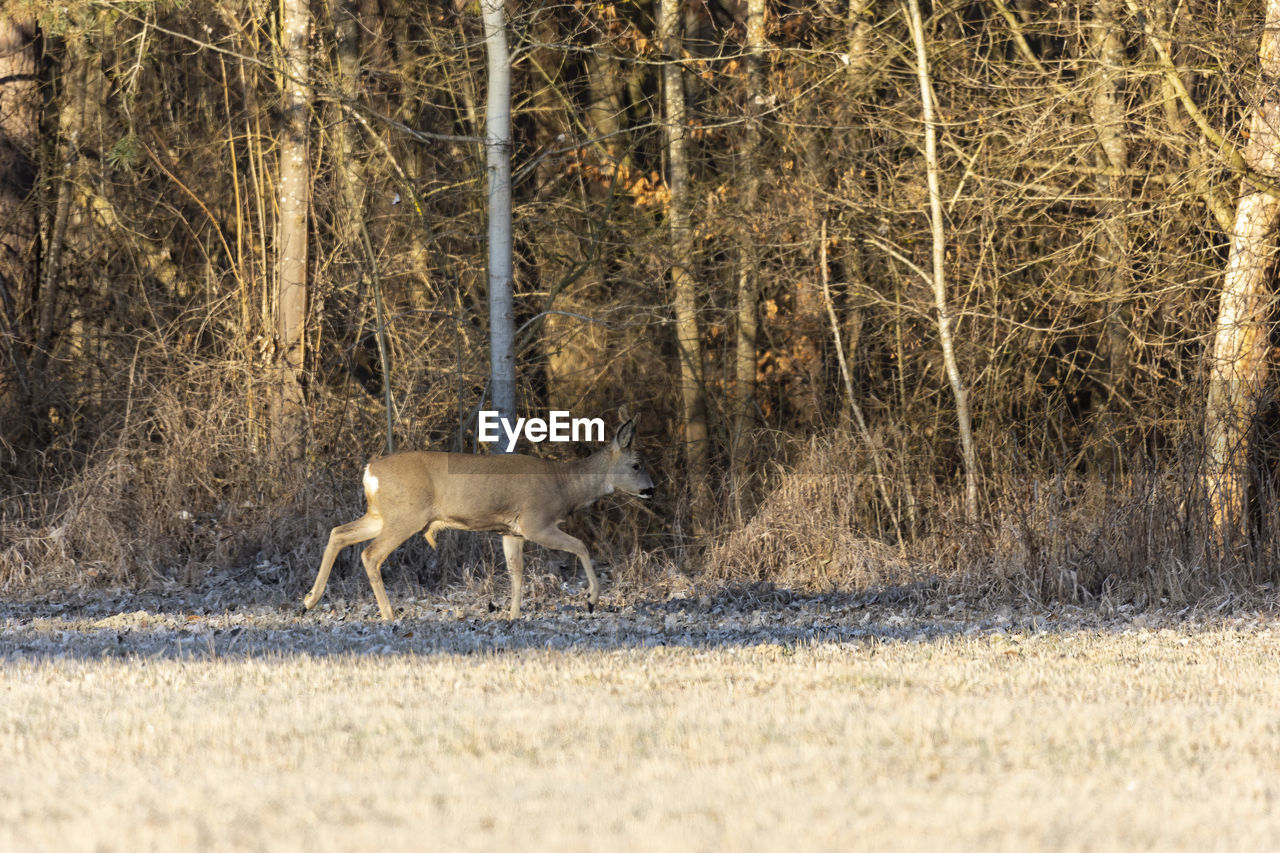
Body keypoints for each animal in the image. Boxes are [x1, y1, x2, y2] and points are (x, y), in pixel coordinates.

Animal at [303, 414, 655, 614]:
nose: (651, 489)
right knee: (371, 554)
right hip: (406, 516)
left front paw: (513, 615)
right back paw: (389, 614)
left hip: (381, 514)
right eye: (637, 464)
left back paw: (309, 600)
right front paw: (592, 599)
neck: (564, 486)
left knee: (338, 533)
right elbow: (580, 546)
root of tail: (369, 471)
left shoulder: (511, 532)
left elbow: (516, 573)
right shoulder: (536, 522)